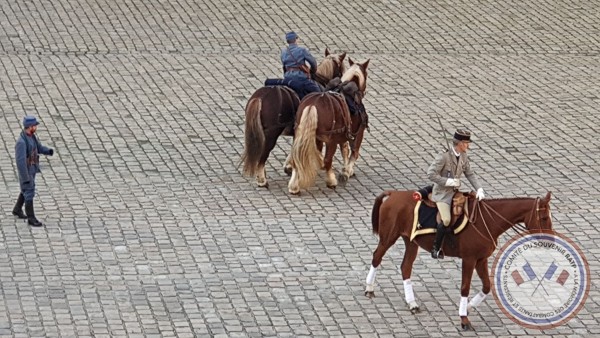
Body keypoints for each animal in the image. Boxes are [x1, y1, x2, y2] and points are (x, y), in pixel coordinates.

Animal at [240, 48, 346, 187]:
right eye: (341, 68)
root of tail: (260, 97)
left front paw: (290, 167)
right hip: (271, 134)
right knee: (263, 155)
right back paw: (262, 180)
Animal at [288, 58, 368, 195]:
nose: (364, 92)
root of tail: (312, 105)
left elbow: (344, 150)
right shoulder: (358, 133)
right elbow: (354, 153)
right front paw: (346, 172)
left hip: (301, 135)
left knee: (297, 157)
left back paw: (294, 186)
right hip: (331, 140)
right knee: (327, 160)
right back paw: (331, 181)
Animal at [366, 190, 556, 330]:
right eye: (544, 218)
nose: (551, 242)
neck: (486, 221)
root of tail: (393, 193)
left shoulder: (481, 260)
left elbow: (487, 287)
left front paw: (469, 307)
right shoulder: (469, 259)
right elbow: (465, 287)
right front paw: (464, 319)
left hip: (411, 242)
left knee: (405, 267)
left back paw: (412, 303)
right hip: (388, 238)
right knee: (376, 257)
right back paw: (369, 288)